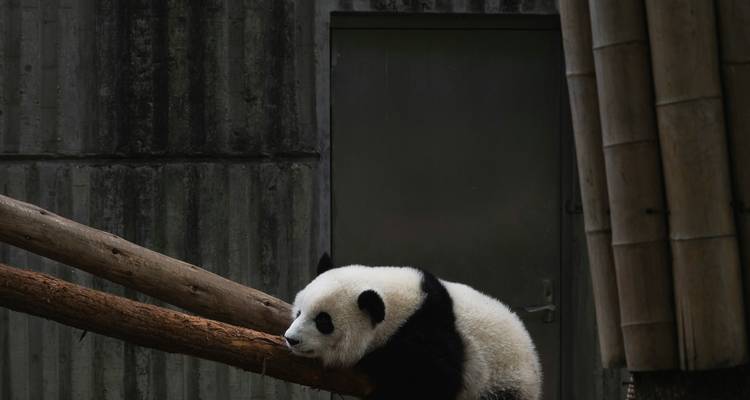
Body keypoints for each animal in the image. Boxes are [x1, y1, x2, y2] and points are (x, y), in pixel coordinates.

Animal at [283, 254, 542, 400]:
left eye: (323, 321)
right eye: (299, 312)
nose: (291, 339)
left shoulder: (430, 329)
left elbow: (433, 377)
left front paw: (375, 363)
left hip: (504, 382)